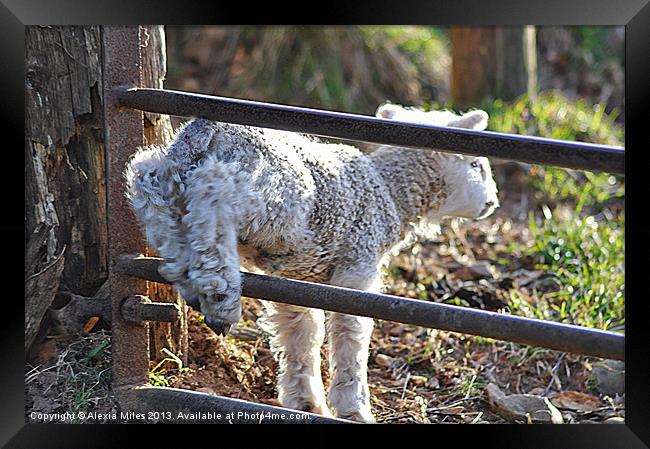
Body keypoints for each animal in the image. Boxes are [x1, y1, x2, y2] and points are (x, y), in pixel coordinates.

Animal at [126, 102, 498, 424]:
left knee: (148, 185)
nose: (493, 202)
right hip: (264, 191)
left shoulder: (297, 280)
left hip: (170, 176)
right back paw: (220, 300)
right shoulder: (358, 268)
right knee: (211, 201)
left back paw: (187, 276)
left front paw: (305, 402)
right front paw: (354, 407)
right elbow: (351, 335)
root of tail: (205, 130)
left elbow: (302, 335)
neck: (391, 193)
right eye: (476, 165)